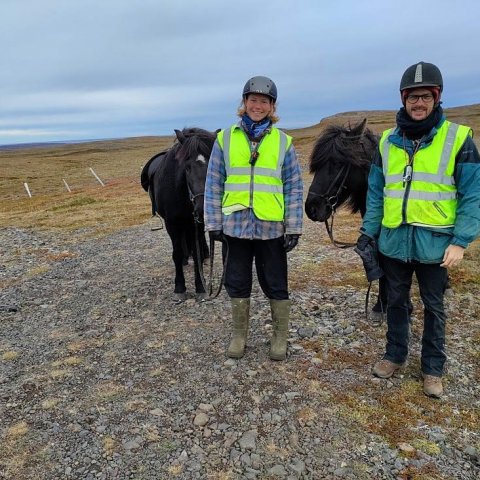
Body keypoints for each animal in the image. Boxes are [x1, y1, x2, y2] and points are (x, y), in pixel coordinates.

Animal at [142, 127, 217, 300]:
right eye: (187, 167)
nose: (202, 208)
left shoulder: (194, 222)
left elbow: (196, 252)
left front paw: (200, 286)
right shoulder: (172, 222)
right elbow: (175, 253)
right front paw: (179, 287)